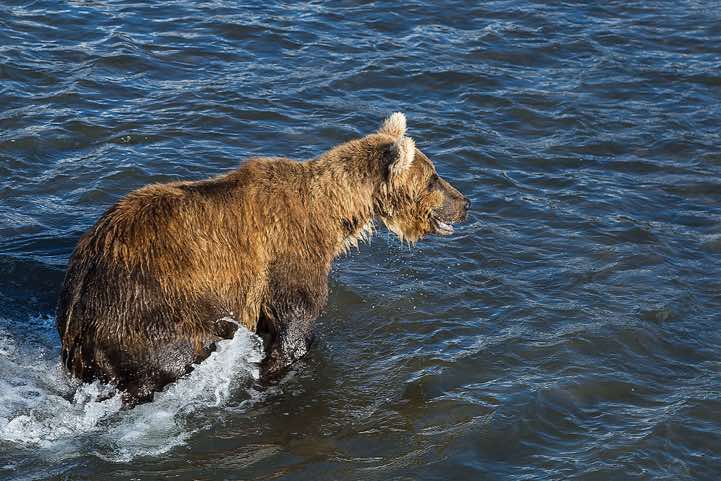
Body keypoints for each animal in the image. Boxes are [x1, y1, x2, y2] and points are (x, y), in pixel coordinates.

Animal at [56, 113, 470, 406]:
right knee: (165, 362)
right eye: (433, 177)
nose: (465, 202)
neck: (332, 215)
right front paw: (278, 368)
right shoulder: (288, 253)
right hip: (149, 306)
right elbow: (295, 321)